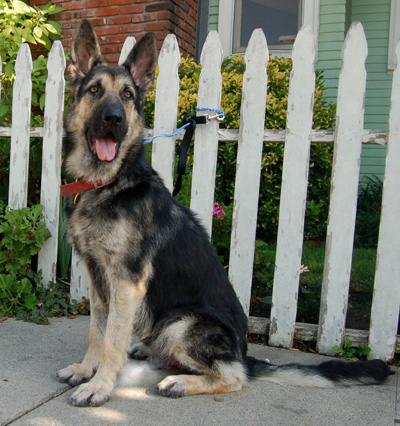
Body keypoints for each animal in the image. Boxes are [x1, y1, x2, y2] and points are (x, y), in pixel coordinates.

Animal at [57, 20, 392, 406]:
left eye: (127, 95)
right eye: (94, 90)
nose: (113, 118)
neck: (105, 183)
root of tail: (244, 352)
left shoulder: (126, 281)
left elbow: (112, 339)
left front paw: (99, 386)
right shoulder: (98, 278)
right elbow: (98, 331)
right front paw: (86, 370)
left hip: (180, 323)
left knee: (234, 375)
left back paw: (181, 381)